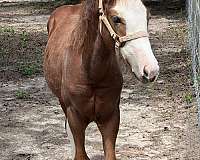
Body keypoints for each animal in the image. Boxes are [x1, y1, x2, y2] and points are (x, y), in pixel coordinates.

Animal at [43, 0, 159, 159]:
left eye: (148, 16)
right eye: (116, 19)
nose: (151, 70)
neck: (91, 73)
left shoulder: (111, 117)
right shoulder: (75, 118)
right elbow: (80, 153)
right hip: (62, 103)